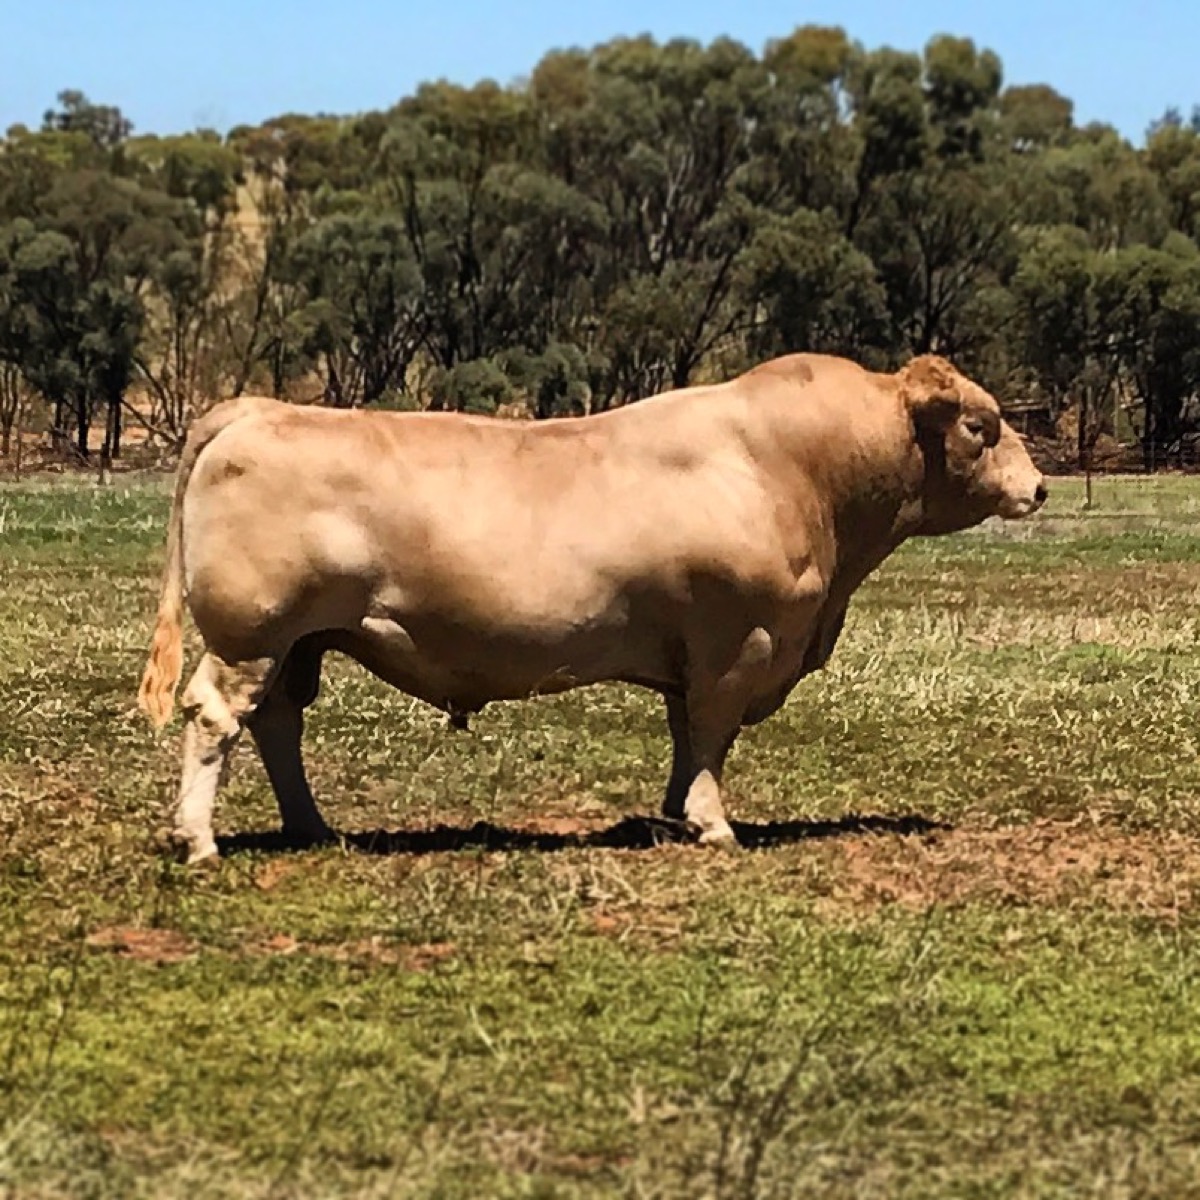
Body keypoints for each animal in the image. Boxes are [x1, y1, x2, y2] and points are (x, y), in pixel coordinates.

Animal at [137, 352, 1047, 864]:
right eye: (982, 424)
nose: (1040, 487)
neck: (803, 469)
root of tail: (257, 408)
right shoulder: (739, 643)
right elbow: (711, 734)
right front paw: (713, 825)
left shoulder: (693, 651)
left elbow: (686, 735)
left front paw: (676, 814)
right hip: (255, 631)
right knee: (217, 717)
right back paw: (200, 841)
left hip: (299, 641)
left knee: (276, 725)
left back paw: (311, 826)